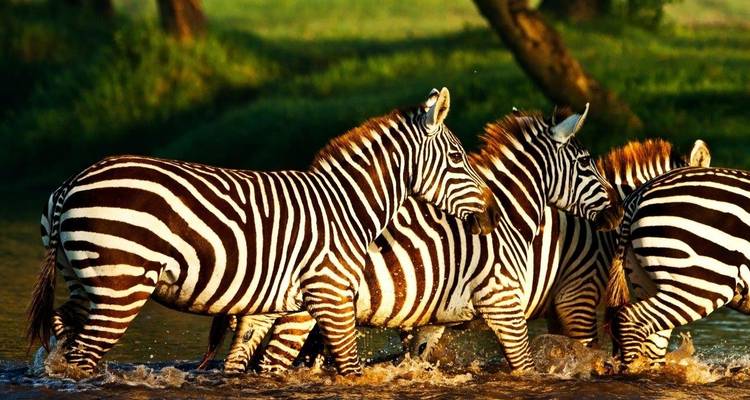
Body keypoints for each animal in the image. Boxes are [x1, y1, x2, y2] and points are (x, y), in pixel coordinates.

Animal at [26, 88, 500, 376]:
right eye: (457, 157)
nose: (492, 214)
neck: (348, 206)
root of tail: (72, 182)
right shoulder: (329, 293)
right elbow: (348, 366)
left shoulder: (288, 304)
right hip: (121, 287)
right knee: (84, 357)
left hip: (87, 281)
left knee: (64, 333)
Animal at [198, 105, 625, 374]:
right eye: (586, 163)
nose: (619, 213)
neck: (507, 221)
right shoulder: (506, 304)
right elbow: (526, 367)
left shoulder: (436, 318)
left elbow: (417, 357)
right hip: (301, 311)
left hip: (266, 305)